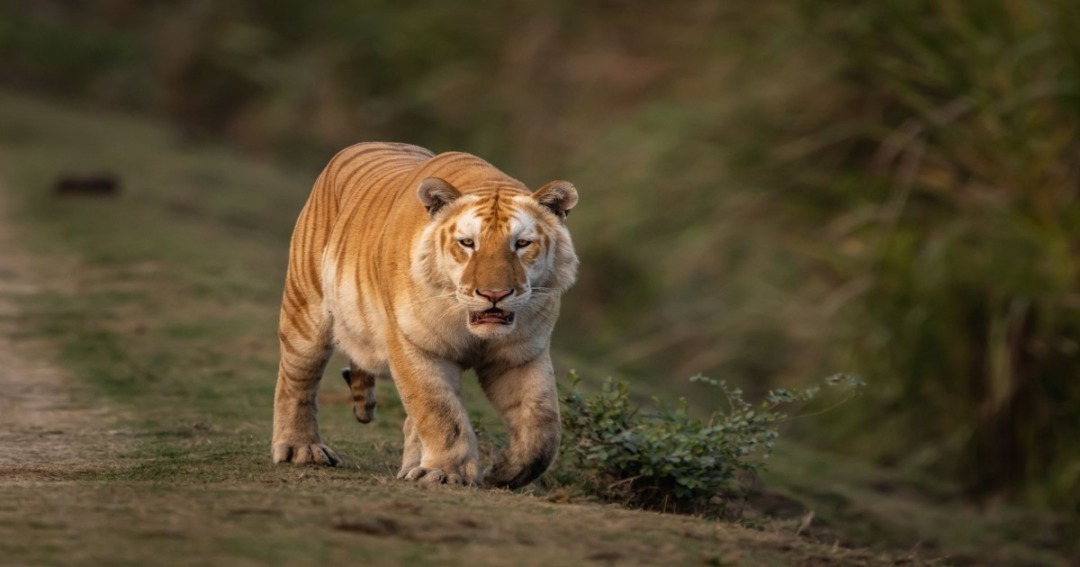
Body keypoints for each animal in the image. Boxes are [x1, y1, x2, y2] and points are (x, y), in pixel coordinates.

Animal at [271, 142, 579, 488]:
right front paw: (446, 473)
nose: (494, 294)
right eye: (468, 243)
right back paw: (302, 449)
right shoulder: (414, 345)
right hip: (305, 314)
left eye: (522, 244)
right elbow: (439, 412)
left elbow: (541, 426)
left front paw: (503, 472)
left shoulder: (522, 355)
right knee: (297, 380)